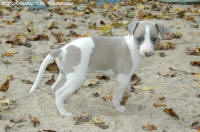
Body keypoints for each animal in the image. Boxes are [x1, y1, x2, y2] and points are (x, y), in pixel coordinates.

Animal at [29, 20, 164, 116]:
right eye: (139, 38)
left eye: (154, 39)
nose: (148, 53)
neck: (132, 46)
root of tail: (62, 50)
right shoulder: (123, 79)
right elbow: (117, 96)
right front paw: (118, 107)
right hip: (76, 79)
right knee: (59, 92)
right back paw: (64, 113)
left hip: (64, 74)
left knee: (55, 88)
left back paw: (63, 102)